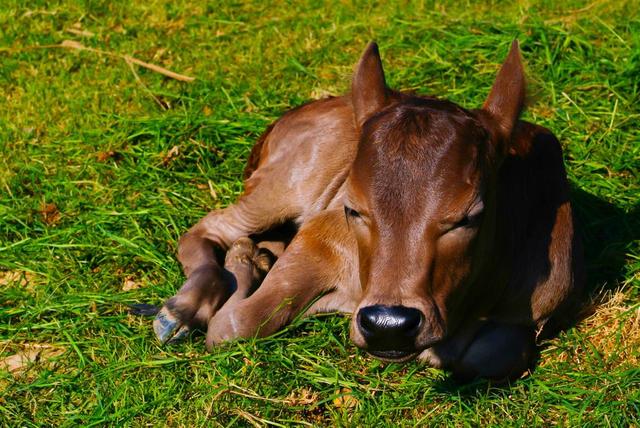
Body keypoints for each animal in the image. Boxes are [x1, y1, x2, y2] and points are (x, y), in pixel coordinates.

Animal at [152, 40, 584, 382]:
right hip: (287, 182)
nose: (387, 324)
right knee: (210, 227)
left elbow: (493, 355)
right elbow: (235, 325)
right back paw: (188, 304)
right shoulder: (316, 238)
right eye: (353, 209)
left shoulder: (532, 308)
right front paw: (240, 271)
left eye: (469, 216)